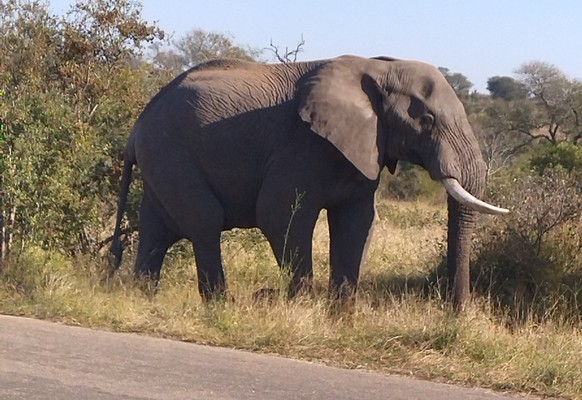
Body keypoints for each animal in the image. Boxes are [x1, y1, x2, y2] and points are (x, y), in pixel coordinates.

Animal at [108, 54, 506, 310]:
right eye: (426, 120)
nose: (457, 314)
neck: (380, 68)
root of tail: (136, 127)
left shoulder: (364, 149)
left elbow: (357, 222)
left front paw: (342, 314)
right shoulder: (302, 144)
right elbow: (279, 214)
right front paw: (298, 306)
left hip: (162, 161)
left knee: (158, 229)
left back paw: (141, 296)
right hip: (169, 152)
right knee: (205, 221)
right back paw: (221, 305)